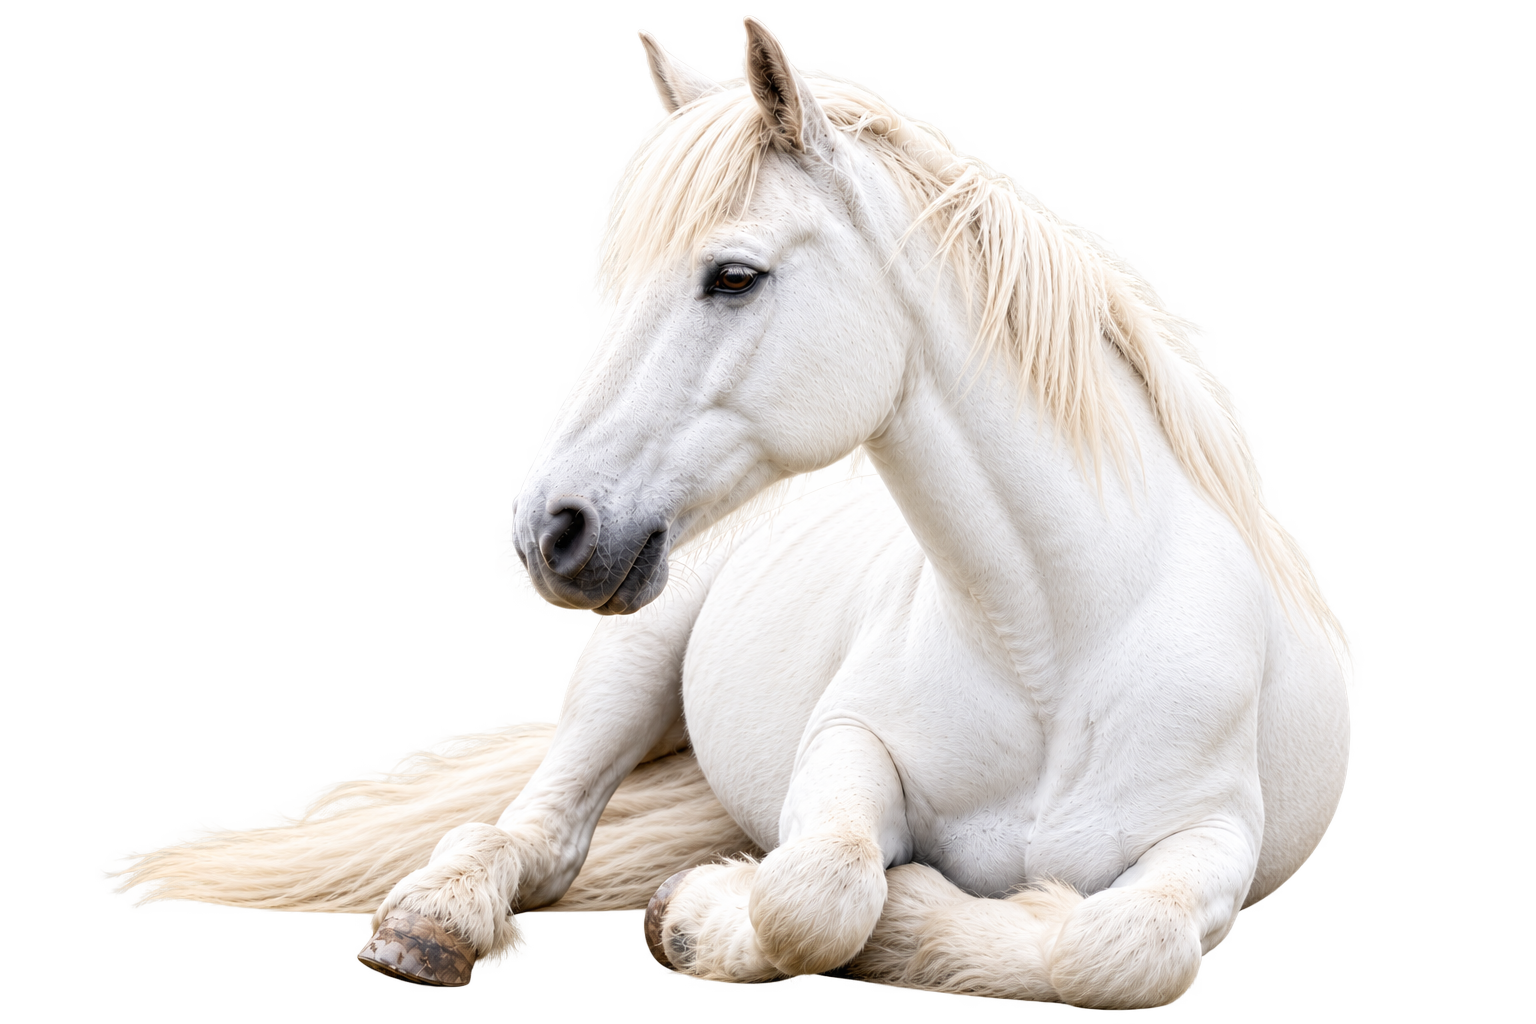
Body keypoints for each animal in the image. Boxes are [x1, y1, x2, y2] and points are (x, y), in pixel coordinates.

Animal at [108, 22, 1349, 1011]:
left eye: (735, 277)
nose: (551, 529)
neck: (1060, 647)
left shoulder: (1216, 846)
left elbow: (1115, 949)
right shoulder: (845, 751)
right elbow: (819, 891)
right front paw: (710, 912)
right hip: (627, 669)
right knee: (539, 838)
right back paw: (432, 919)